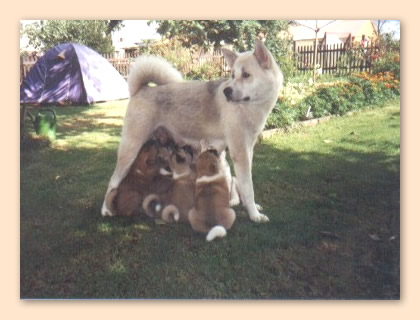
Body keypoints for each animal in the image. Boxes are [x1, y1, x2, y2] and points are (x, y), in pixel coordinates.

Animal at [102, 39, 284, 222]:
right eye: (233, 75)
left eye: (246, 75)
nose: (227, 91)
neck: (250, 108)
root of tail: (140, 89)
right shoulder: (239, 152)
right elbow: (248, 187)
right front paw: (255, 215)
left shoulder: (248, 149)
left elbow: (243, 183)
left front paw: (249, 208)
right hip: (130, 149)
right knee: (113, 180)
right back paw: (106, 210)